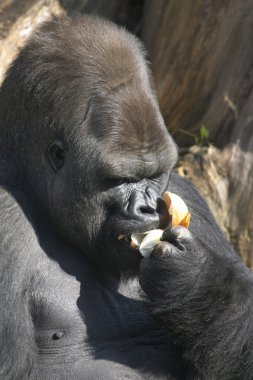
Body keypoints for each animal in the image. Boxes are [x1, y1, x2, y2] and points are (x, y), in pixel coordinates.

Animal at [0, 14, 253, 380]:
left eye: (154, 174)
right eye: (121, 180)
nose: (148, 207)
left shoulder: (191, 198)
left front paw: (198, 281)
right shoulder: (4, 216)